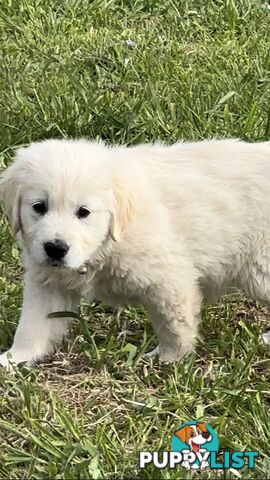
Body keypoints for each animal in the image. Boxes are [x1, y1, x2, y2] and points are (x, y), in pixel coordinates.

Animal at [0, 139, 270, 368]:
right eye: (39, 207)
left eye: (84, 212)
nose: (56, 248)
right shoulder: (48, 283)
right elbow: (32, 326)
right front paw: (14, 359)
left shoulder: (169, 280)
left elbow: (173, 326)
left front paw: (169, 359)